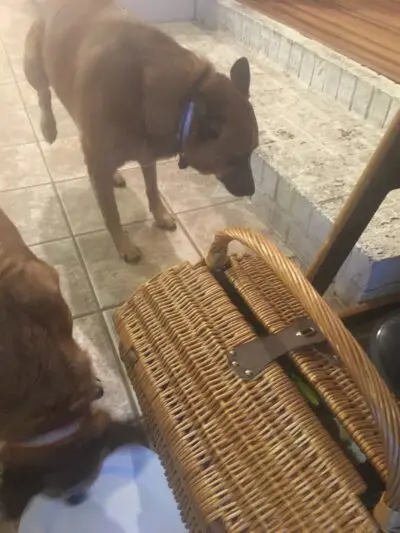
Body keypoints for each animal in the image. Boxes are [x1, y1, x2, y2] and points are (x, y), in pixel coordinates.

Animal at [24, 0, 259, 263]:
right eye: (234, 157)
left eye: (252, 152)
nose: (252, 191)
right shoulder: (103, 158)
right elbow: (112, 214)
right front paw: (123, 244)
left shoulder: (146, 156)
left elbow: (152, 189)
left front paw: (160, 215)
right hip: (33, 69)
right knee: (43, 93)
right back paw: (48, 127)